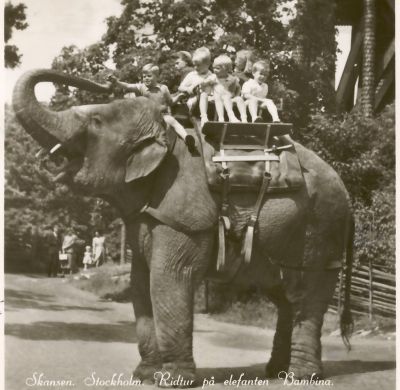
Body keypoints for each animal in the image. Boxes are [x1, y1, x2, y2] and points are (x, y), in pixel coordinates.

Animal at [12, 70, 354, 386]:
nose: (109, 81)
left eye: (95, 122)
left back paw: (301, 376)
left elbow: (169, 278)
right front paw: (144, 376)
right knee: (284, 297)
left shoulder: (184, 206)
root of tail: (348, 196)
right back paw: (275, 372)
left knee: (306, 295)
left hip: (320, 229)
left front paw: (173, 381)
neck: (167, 134)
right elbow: (141, 283)